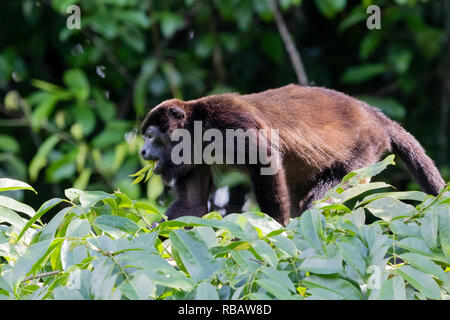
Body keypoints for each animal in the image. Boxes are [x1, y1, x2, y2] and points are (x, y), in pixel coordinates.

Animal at [141, 84, 446, 226]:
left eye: (151, 135)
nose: (143, 150)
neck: (196, 127)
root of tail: (375, 117)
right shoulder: (190, 160)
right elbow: (191, 204)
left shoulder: (228, 119)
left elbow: (264, 159)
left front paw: (275, 228)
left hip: (365, 150)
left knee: (316, 200)